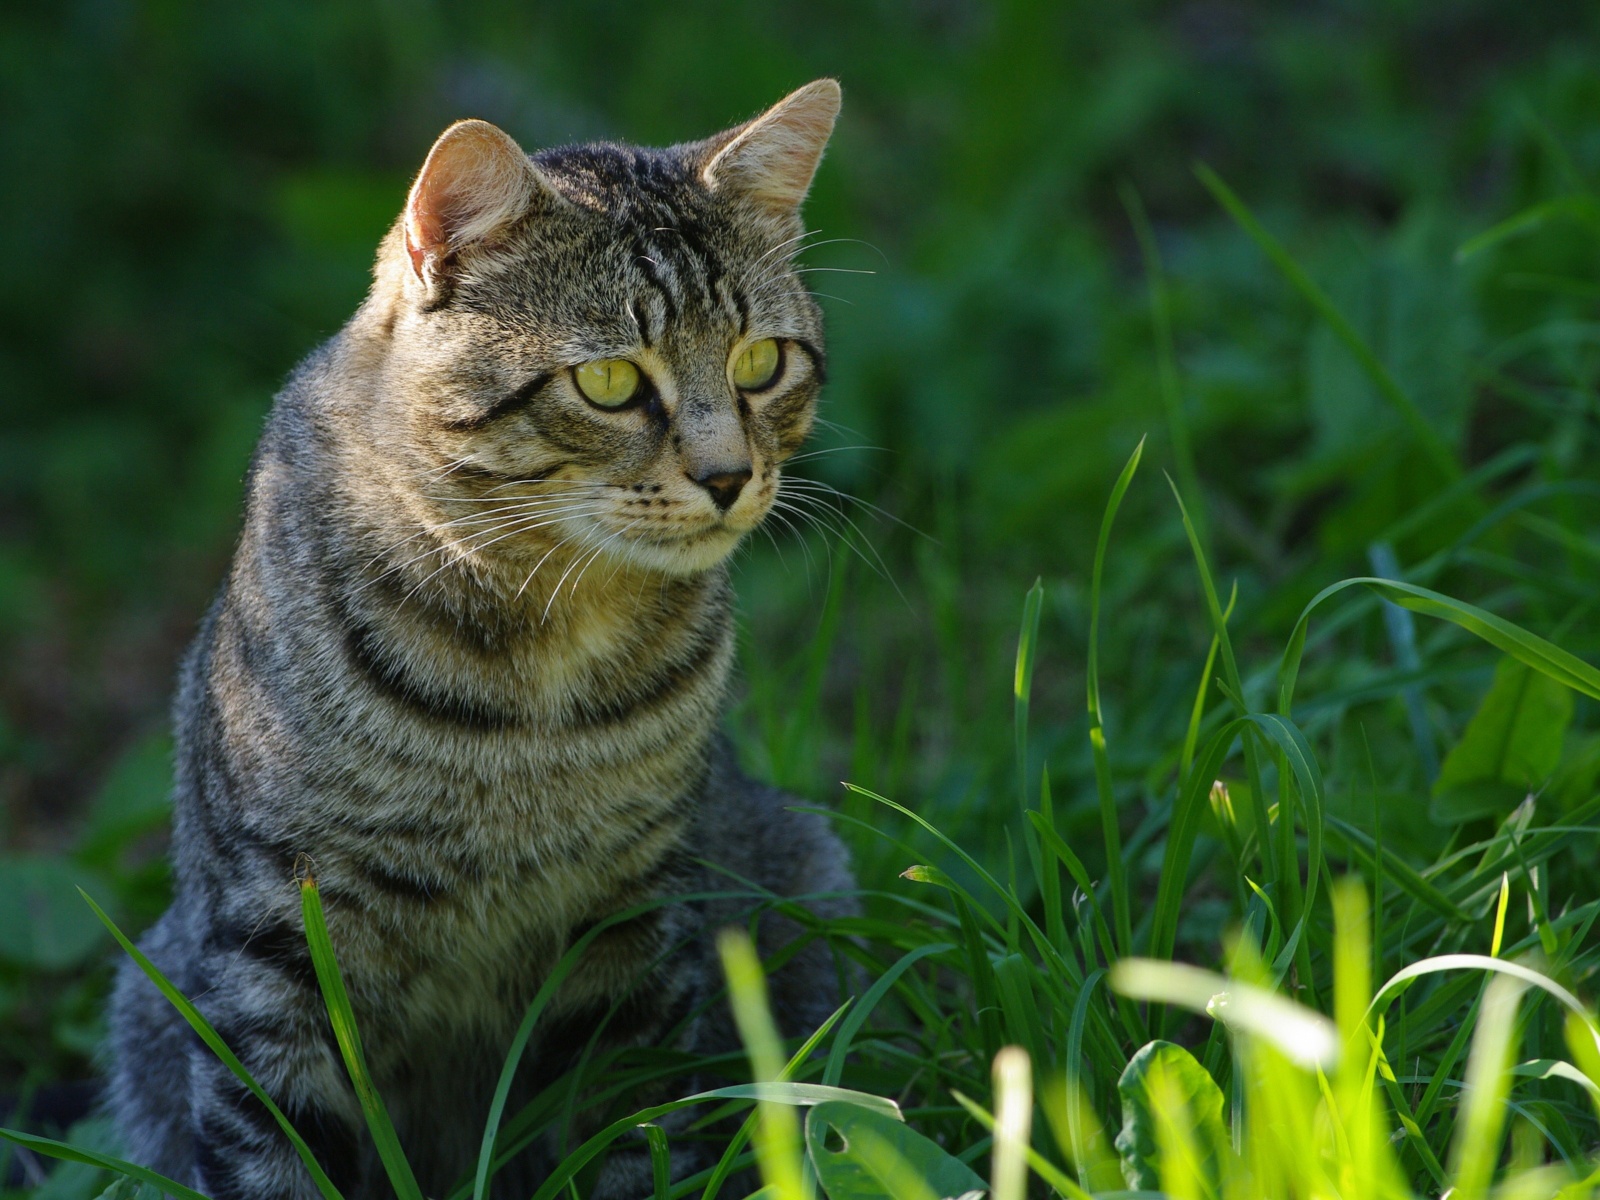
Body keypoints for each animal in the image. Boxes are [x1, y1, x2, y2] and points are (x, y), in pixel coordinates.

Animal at [106, 80, 857, 1196]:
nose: (730, 477)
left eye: (762, 362)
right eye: (609, 384)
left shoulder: (632, 923)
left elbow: (628, 1131)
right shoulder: (273, 941)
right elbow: (272, 1150)